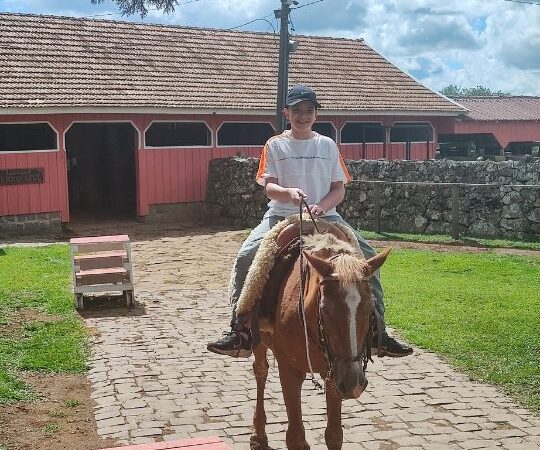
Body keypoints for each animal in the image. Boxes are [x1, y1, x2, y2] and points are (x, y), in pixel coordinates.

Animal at [249, 230, 388, 450]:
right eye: (326, 309)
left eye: (369, 308)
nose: (354, 384)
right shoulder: (289, 371)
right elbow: (296, 438)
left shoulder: (333, 373)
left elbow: (334, 435)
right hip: (259, 341)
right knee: (261, 371)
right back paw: (259, 435)